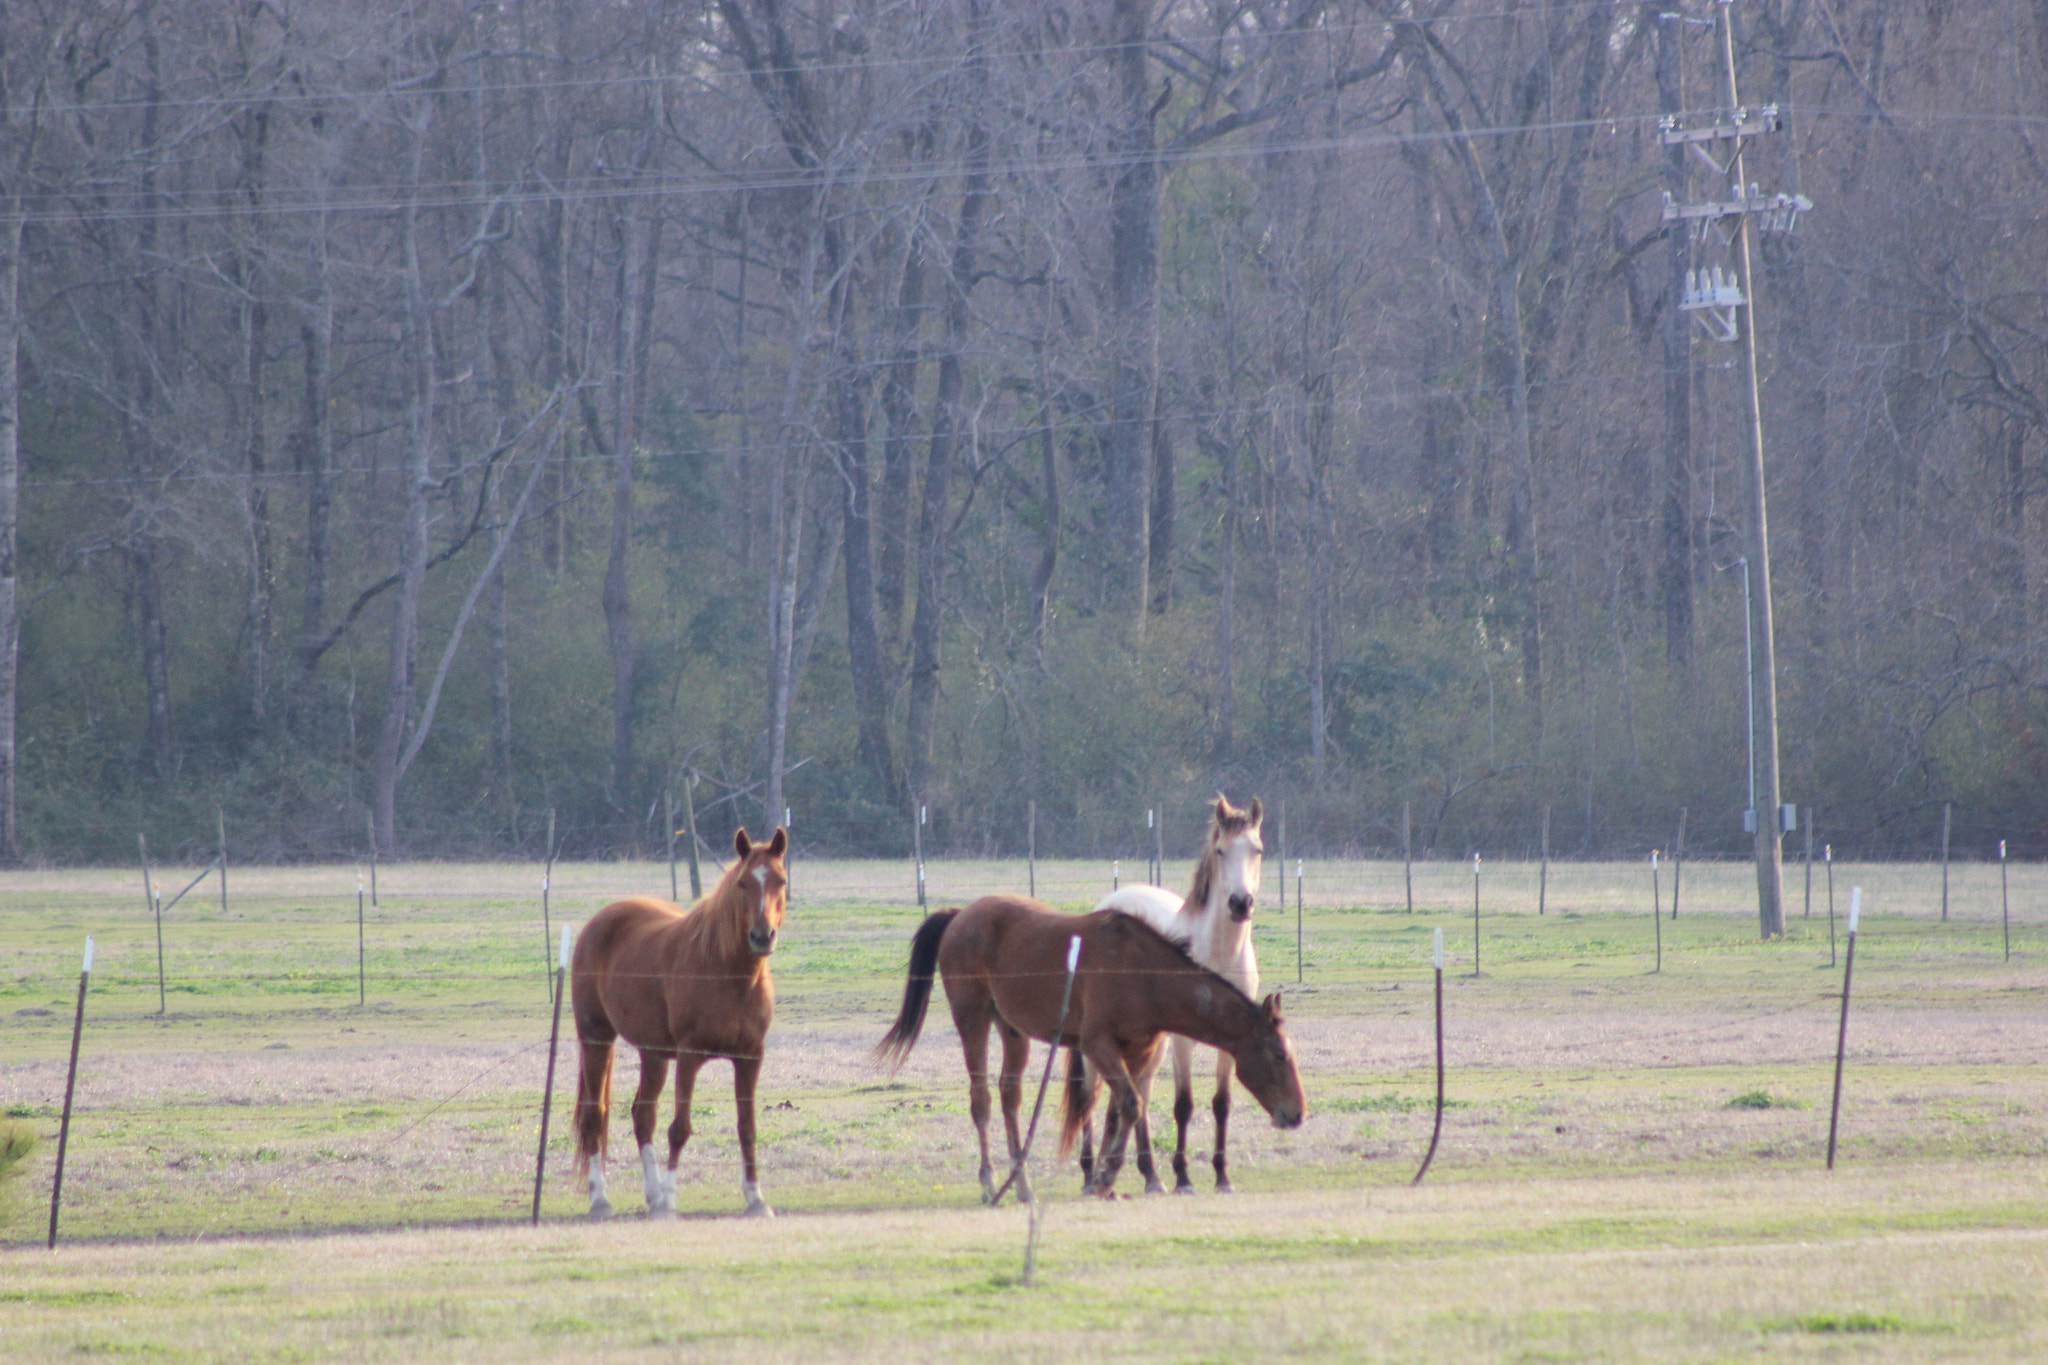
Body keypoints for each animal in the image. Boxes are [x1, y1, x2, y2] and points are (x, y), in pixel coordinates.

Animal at [573, 826, 786, 1219]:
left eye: (781, 880)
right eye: (742, 882)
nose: (762, 936)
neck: (727, 973)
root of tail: (603, 918)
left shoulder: (750, 1058)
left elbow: (747, 1127)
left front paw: (756, 1199)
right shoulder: (689, 1057)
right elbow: (680, 1129)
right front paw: (671, 1200)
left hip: (653, 1054)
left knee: (643, 1116)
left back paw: (652, 1195)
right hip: (596, 1038)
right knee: (595, 1117)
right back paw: (601, 1200)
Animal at [872, 900, 1302, 1203]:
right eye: (1280, 1055)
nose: (1298, 1113)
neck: (1143, 973)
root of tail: (961, 915)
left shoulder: (1136, 1052)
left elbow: (1119, 1112)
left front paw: (1103, 1181)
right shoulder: (1098, 1045)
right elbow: (1129, 1105)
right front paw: (1105, 1177)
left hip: (1013, 1031)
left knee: (1010, 1099)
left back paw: (1022, 1185)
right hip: (973, 1020)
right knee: (982, 1102)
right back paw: (990, 1183)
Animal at [1081, 794, 1253, 1186]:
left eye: (1257, 849)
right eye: (1220, 850)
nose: (1240, 903)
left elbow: (1222, 1104)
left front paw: (1221, 1175)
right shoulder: (1182, 1040)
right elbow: (1184, 1104)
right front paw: (1184, 1177)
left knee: (1137, 1095)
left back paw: (1147, 1175)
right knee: (1091, 1093)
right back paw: (1091, 1170)